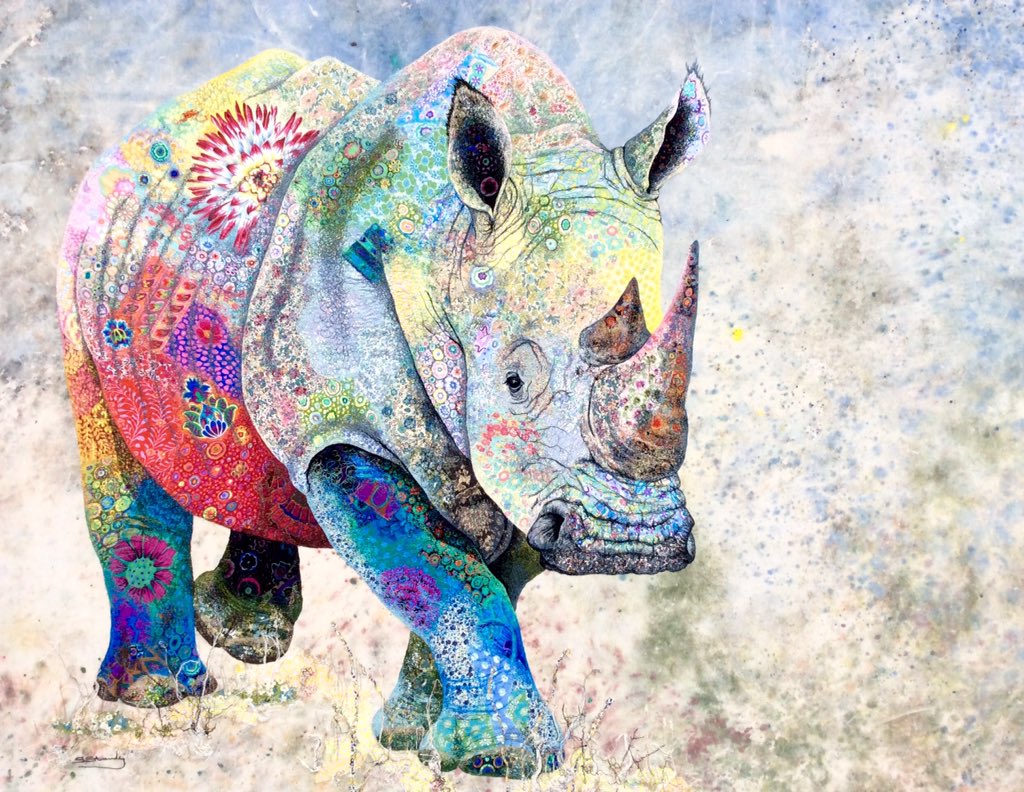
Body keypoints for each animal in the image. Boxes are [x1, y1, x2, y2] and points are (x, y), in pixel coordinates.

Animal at [57, 28, 710, 777]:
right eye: (514, 382)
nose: (631, 543)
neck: (453, 248)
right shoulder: (349, 427)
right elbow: (450, 579)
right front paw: (503, 762)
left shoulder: (522, 476)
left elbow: (470, 580)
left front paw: (420, 742)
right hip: (86, 260)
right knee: (119, 446)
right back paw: (159, 695)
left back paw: (243, 639)